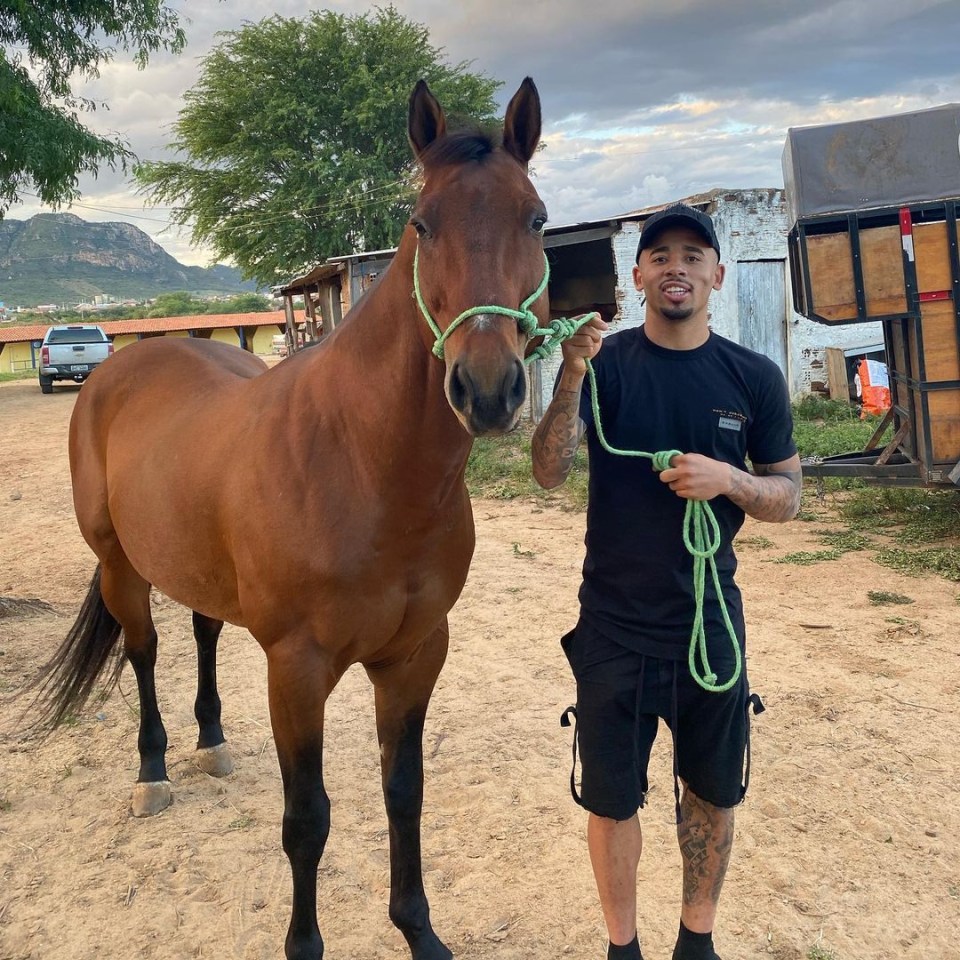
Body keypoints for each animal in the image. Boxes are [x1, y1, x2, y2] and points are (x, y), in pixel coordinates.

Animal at [31, 77, 548, 960]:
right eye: (423, 224)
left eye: (537, 218)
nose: (486, 389)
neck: (364, 463)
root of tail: (122, 365)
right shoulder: (297, 669)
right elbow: (307, 820)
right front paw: (304, 945)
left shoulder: (414, 657)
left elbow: (404, 792)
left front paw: (420, 931)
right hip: (120, 566)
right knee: (144, 651)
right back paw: (153, 771)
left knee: (203, 632)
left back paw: (209, 742)